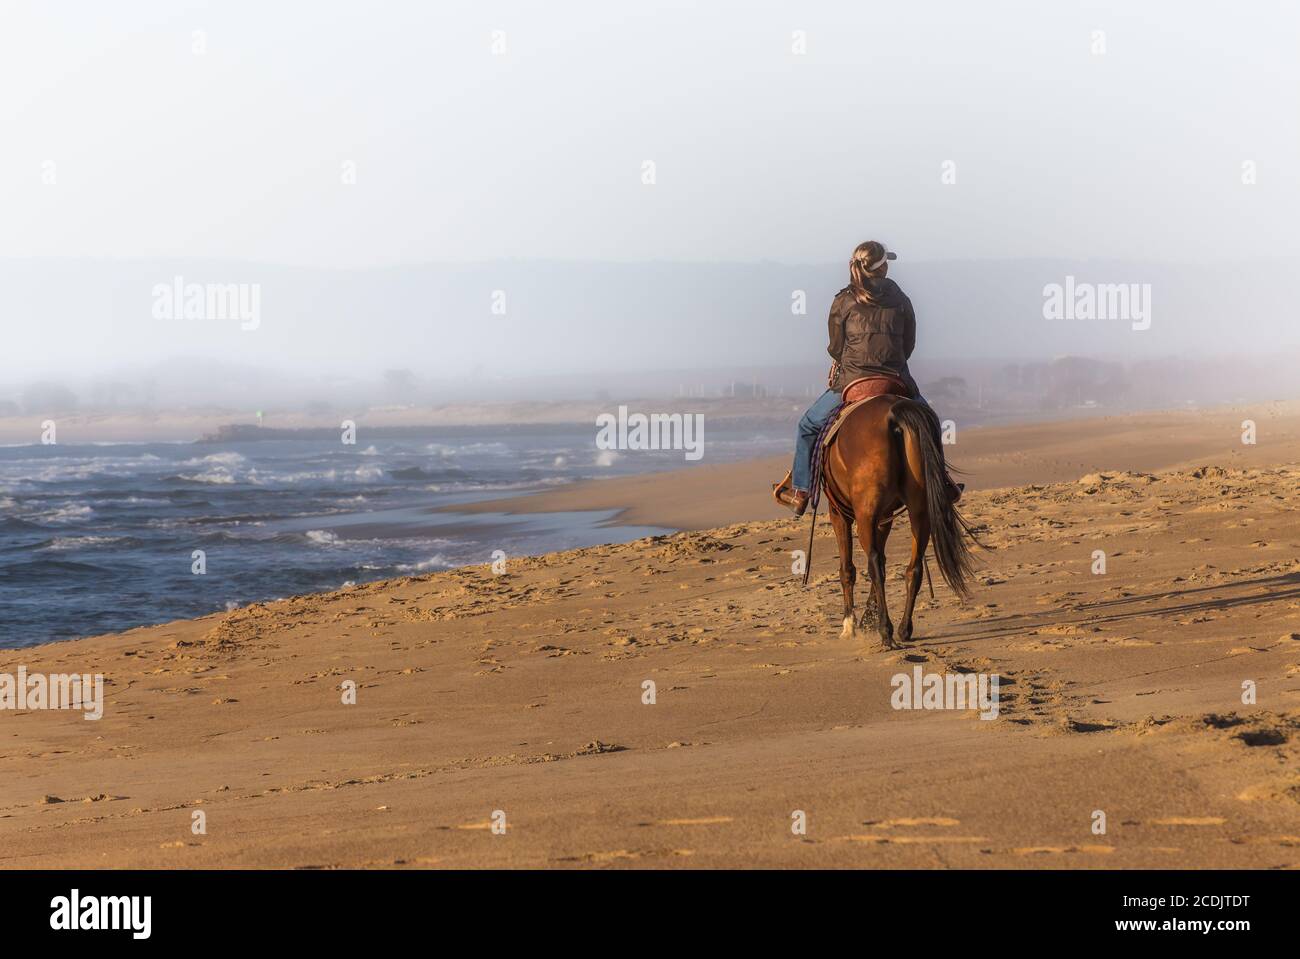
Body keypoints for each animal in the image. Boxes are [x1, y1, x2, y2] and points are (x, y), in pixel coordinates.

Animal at [820, 395, 978, 649]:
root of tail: (896, 412)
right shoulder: (884, 518)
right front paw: (867, 618)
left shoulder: (838, 513)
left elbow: (847, 569)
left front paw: (850, 626)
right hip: (919, 509)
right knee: (914, 568)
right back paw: (904, 629)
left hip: (865, 513)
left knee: (874, 564)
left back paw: (886, 631)